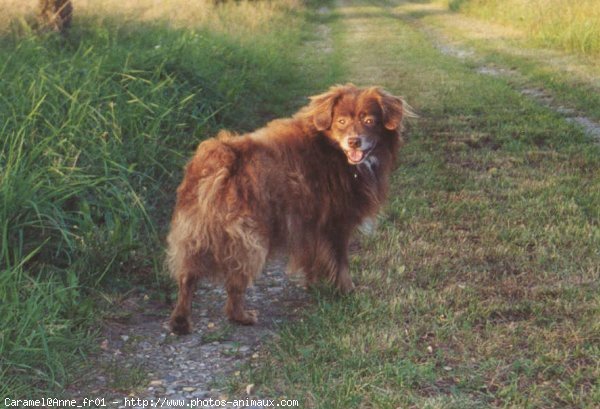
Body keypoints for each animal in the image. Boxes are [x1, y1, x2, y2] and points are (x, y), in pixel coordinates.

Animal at [169, 83, 410, 334]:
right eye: (341, 121)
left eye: (369, 121)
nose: (354, 141)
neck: (332, 151)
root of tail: (221, 158)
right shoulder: (335, 224)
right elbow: (340, 262)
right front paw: (348, 292)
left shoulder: (311, 227)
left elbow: (313, 260)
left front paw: (314, 286)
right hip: (248, 236)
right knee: (235, 281)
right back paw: (241, 316)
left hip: (195, 233)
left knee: (187, 277)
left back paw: (180, 321)